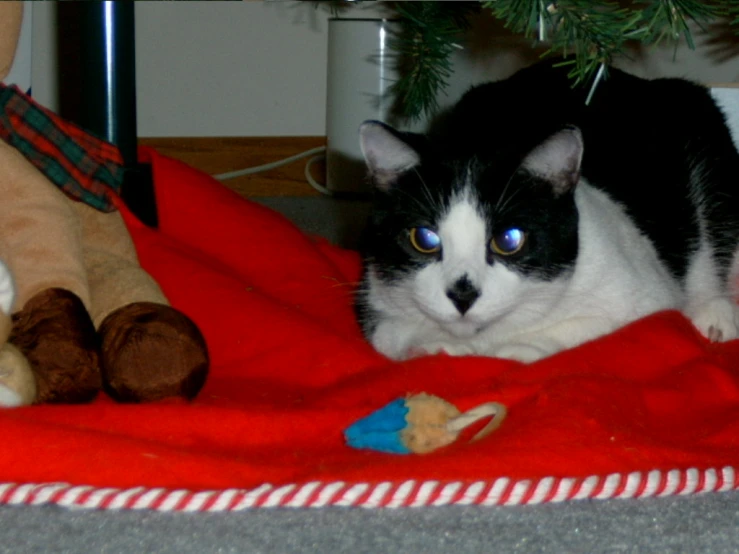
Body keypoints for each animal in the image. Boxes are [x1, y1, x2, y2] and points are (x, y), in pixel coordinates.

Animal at [356, 60, 739, 362]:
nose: (463, 295)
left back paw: (715, 314)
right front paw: (432, 346)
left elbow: (600, 327)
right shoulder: (371, 295)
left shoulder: (643, 293)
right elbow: (387, 332)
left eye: (509, 240)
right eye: (424, 238)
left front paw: (518, 349)